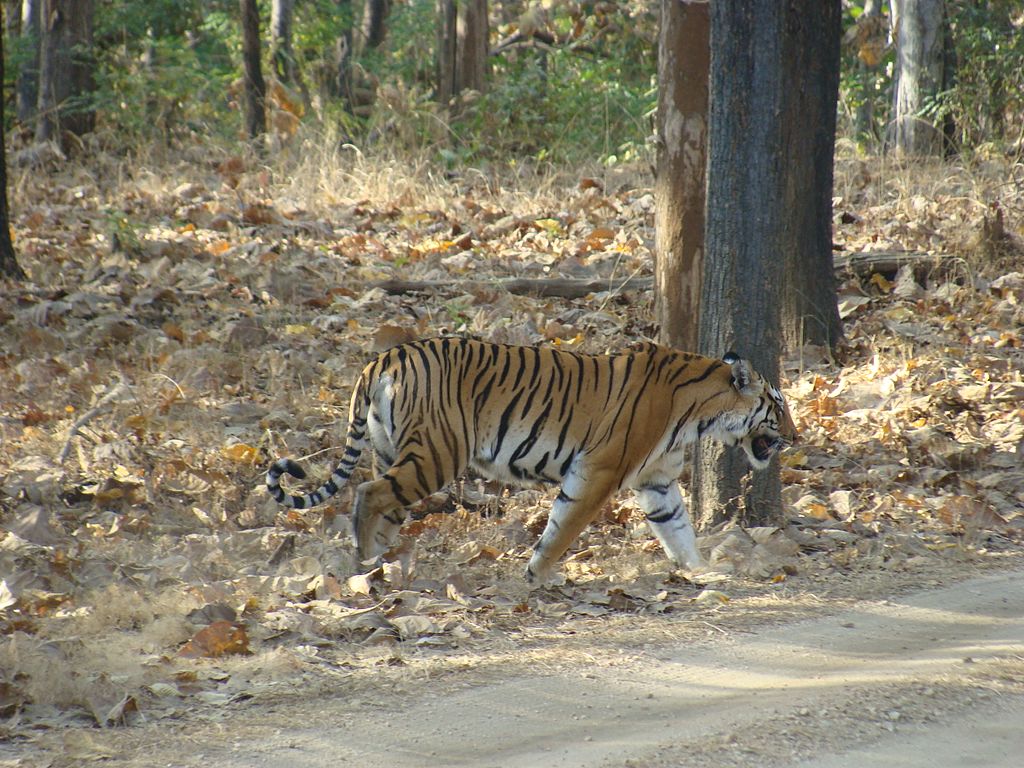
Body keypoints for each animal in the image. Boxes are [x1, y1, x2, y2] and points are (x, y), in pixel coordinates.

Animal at [262, 335, 790, 581]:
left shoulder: (657, 481)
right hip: (436, 453)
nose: (794, 436)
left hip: (392, 450)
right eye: (778, 406)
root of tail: (382, 358)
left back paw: (383, 566)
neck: (700, 414)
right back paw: (364, 562)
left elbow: (678, 528)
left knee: (384, 504)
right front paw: (537, 575)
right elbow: (564, 526)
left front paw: (700, 570)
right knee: (369, 496)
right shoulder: (598, 470)